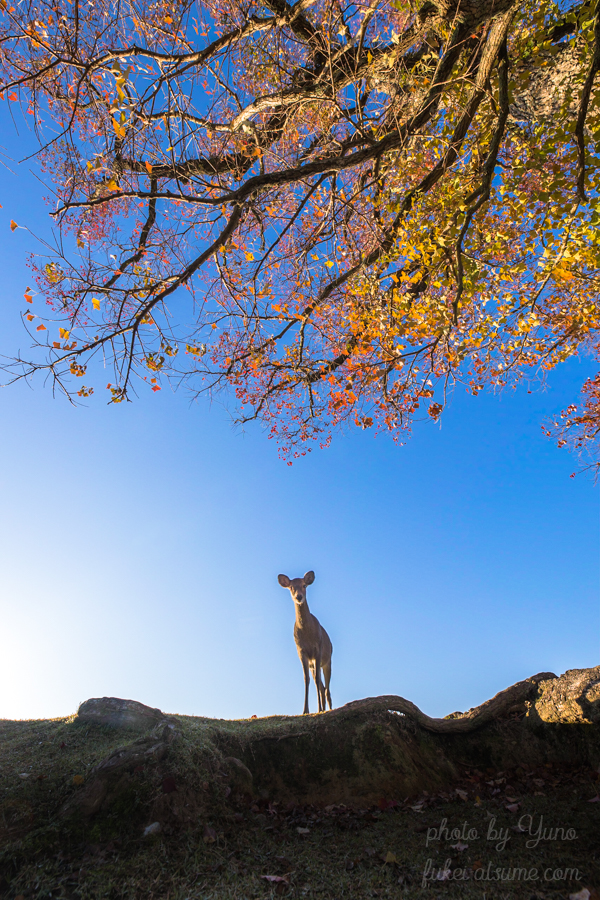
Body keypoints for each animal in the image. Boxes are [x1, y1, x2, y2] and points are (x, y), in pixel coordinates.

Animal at [278, 568, 332, 716]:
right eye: (291, 587)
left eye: (304, 585)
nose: (299, 597)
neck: (308, 635)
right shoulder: (301, 651)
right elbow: (306, 679)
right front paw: (305, 710)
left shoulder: (318, 648)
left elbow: (317, 680)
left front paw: (318, 708)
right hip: (313, 664)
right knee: (322, 687)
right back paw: (323, 708)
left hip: (328, 661)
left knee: (327, 689)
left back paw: (328, 709)